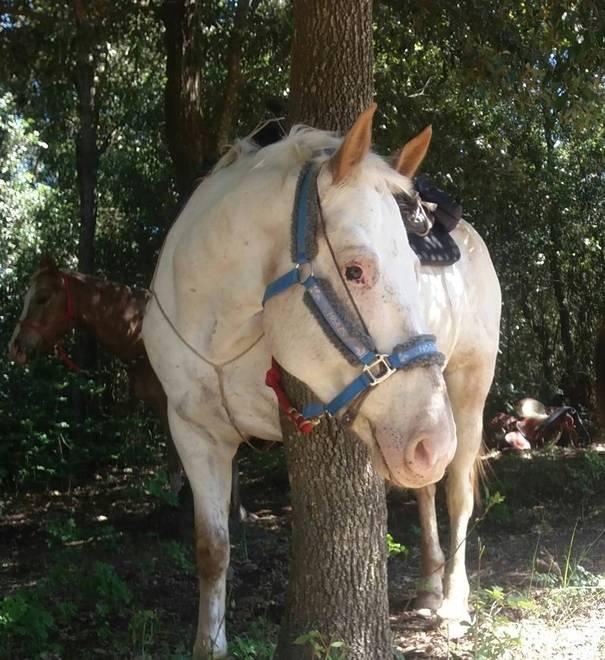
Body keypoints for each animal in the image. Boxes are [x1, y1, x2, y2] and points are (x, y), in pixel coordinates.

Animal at [143, 104, 500, 657]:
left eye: (414, 265)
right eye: (354, 270)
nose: (432, 444)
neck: (218, 327)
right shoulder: (195, 434)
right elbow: (212, 549)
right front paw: (209, 643)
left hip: (464, 392)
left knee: (456, 491)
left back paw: (454, 603)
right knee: (425, 488)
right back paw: (427, 587)